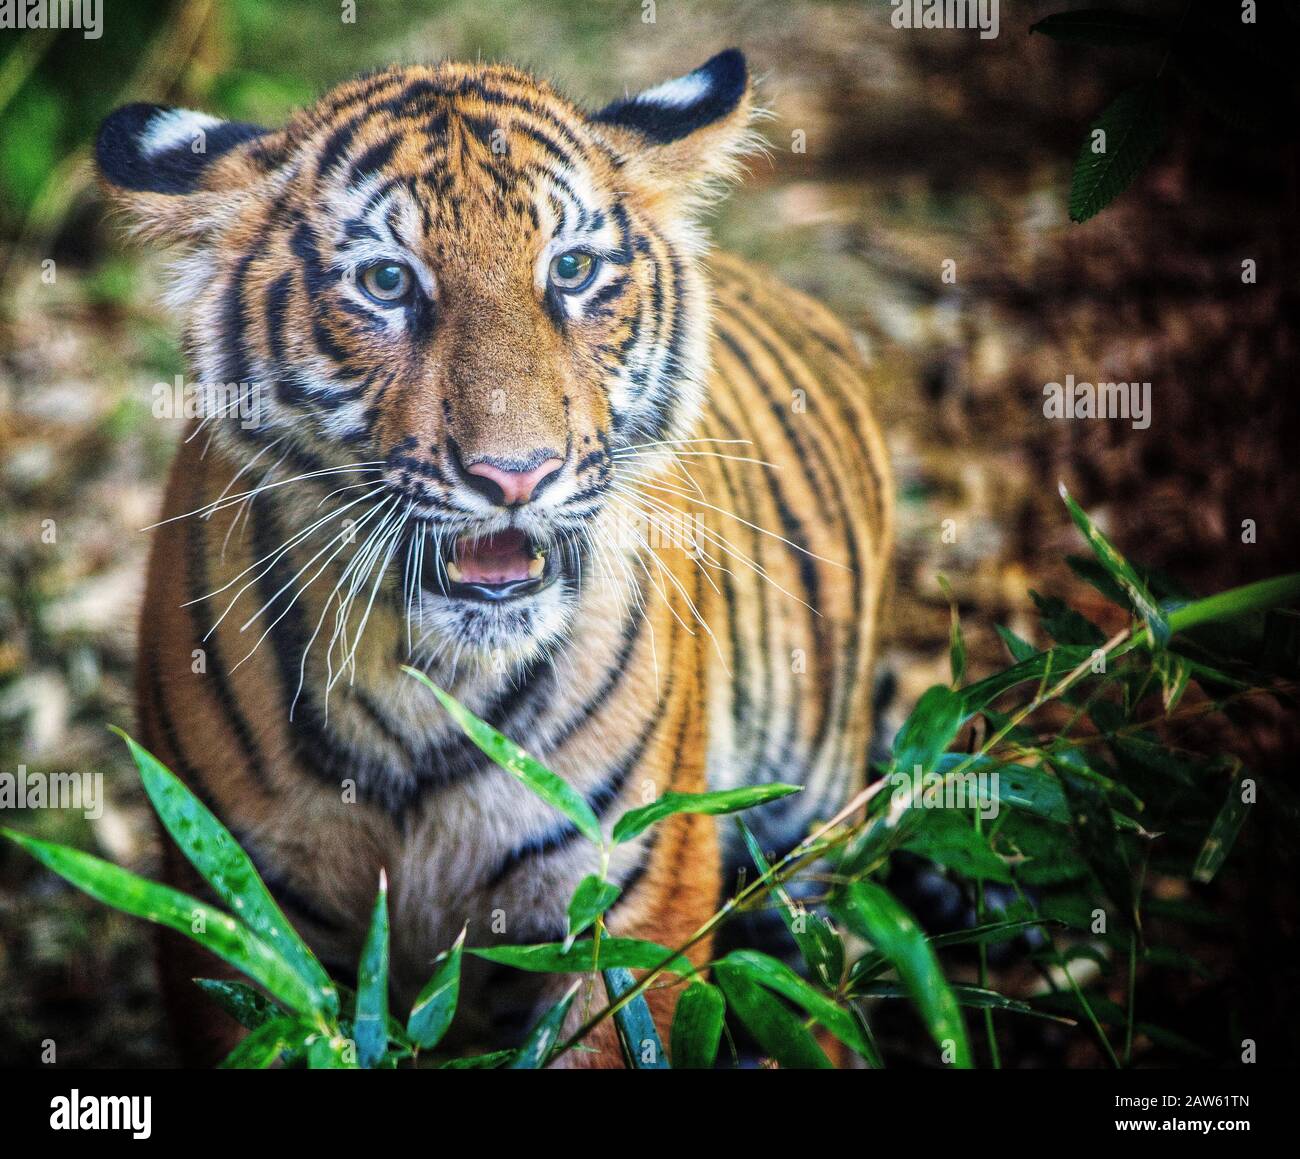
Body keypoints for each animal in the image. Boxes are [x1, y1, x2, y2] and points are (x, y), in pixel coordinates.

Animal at [96, 51, 894, 1070]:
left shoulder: (630, 901)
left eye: (574, 269)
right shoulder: (236, 914)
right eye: (387, 282)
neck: (420, 674)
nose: (517, 475)